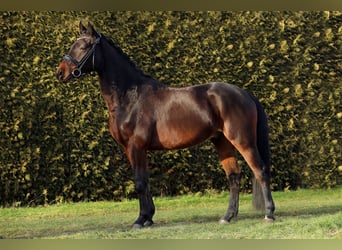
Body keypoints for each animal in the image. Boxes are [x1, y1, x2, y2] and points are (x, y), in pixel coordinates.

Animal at [56, 22, 276, 229]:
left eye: (84, 46)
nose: (60, 72)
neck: (130, 97)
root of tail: (244, 93)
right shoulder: (132, 149)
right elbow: (144, 181)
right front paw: (148, 217)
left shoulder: (136, 146)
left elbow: (140, 183)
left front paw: (140, 220)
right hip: (222, 141)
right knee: (233, 176)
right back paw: (227, 217)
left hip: (243, 140)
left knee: (260, 170)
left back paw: (269, 214)